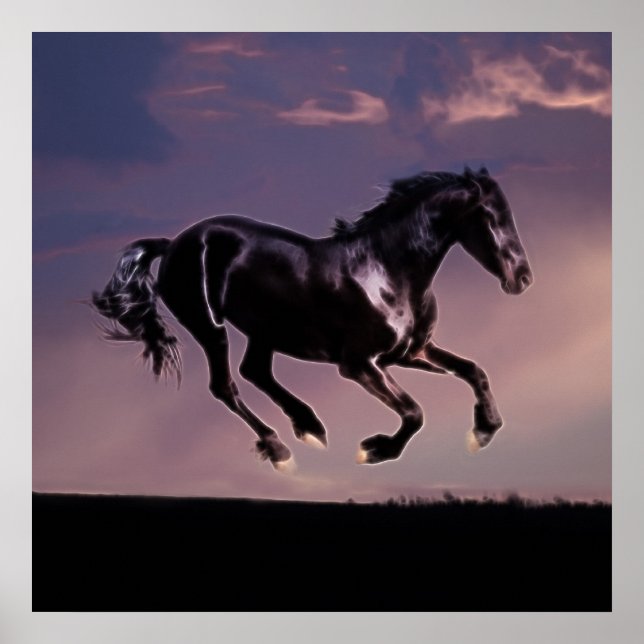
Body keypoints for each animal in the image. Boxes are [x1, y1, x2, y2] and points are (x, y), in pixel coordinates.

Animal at [92, 166, 532, 470]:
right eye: (491, 217)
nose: (523, 279)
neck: (386, 271)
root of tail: (174, 243)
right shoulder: (359, 364)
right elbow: (413, 411)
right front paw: (374, 450)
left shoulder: (412, 352)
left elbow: (474, 370)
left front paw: (483, 431)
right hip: (210, 328)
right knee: (226, 386)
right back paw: (280, 450)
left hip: (264, 330)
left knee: (255, 372)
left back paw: (310, 427)